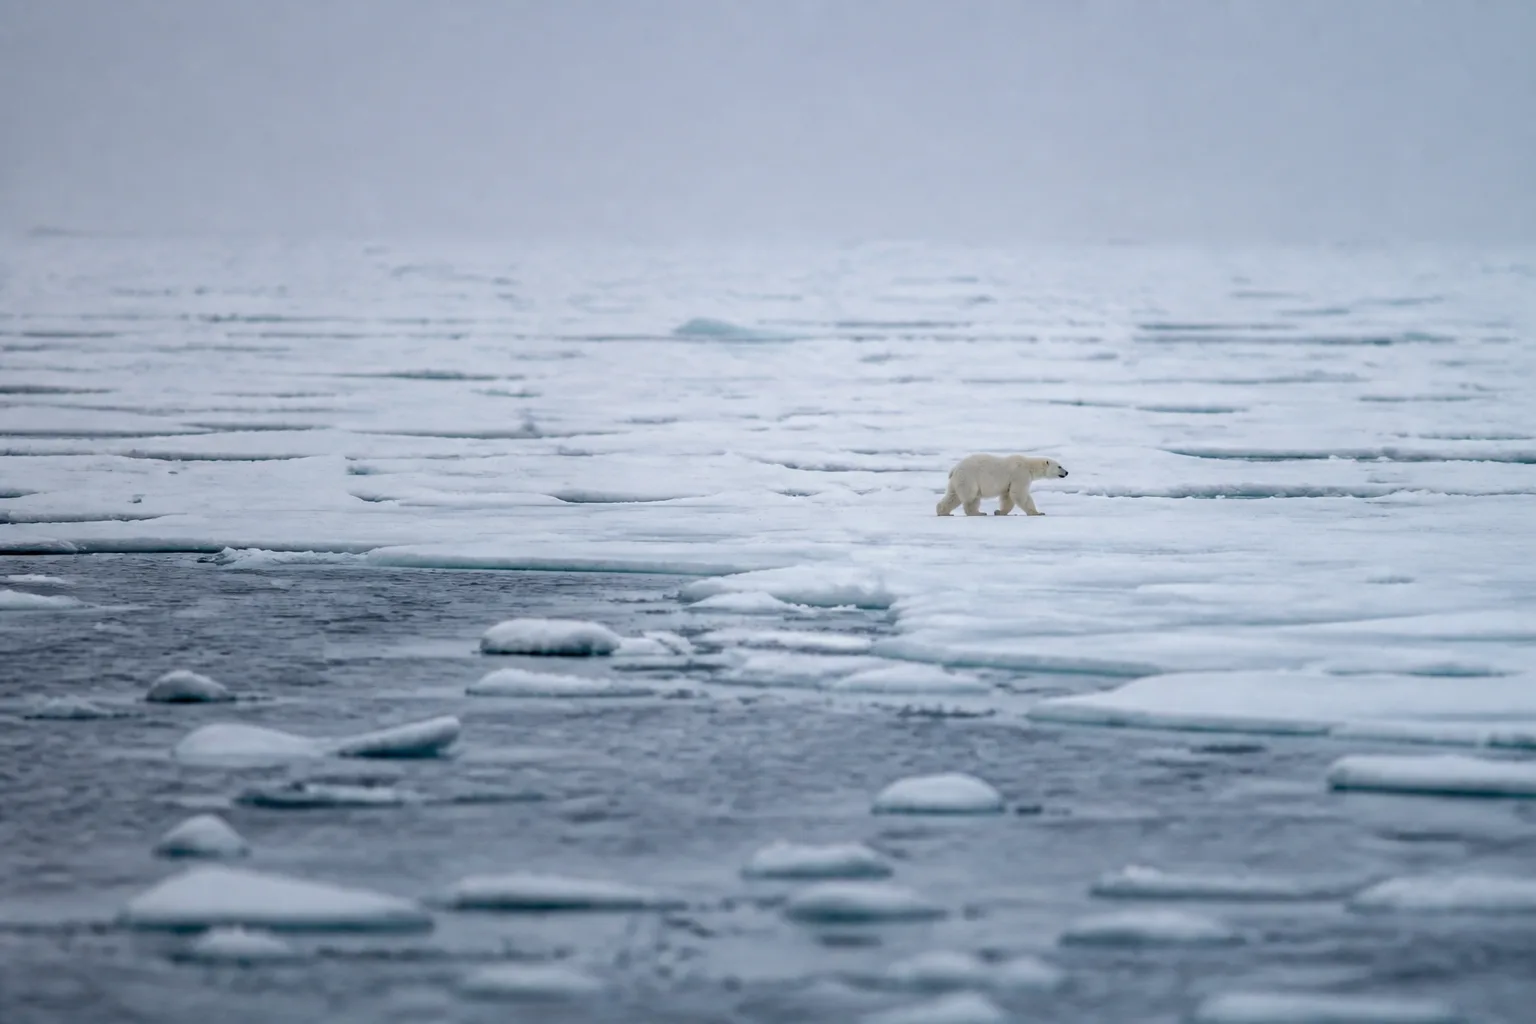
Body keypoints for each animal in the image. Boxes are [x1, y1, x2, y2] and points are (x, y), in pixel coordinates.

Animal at [936, 454, 1068, 517]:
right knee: (971, 497)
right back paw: (977, 512)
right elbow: (1019, 494)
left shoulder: (1010, 481)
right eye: (1059, 466)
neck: (1029, 465)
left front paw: (999, 511)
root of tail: (955, 468)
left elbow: (1007, 496)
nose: (1066, 472)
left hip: (958, 480)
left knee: (953, 496)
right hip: (969, 478)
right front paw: (1037, 512)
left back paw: (944, 512)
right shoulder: (1020, 474)